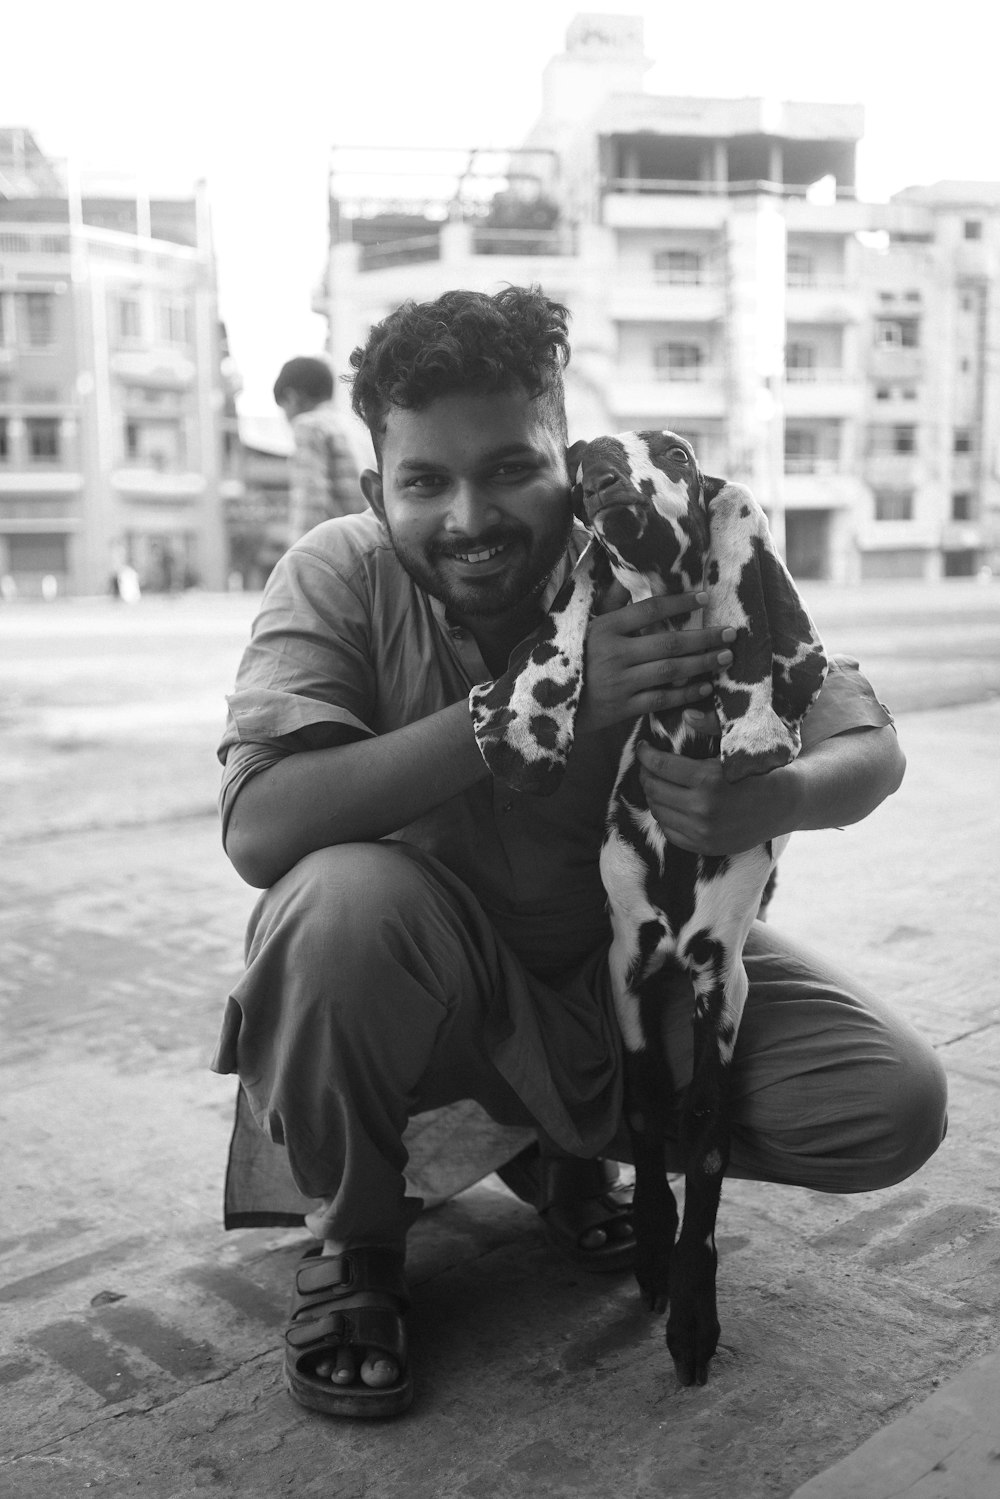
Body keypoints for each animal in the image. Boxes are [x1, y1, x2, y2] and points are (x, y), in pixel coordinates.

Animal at [473, 428, 833, 1385]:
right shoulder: (627, 966)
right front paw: (648, 1249)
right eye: (575, 455)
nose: (599, 474)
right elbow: (643, 1111)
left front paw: (695, 1313)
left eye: (672, 450)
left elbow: (703, 1139)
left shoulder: (720, 980)